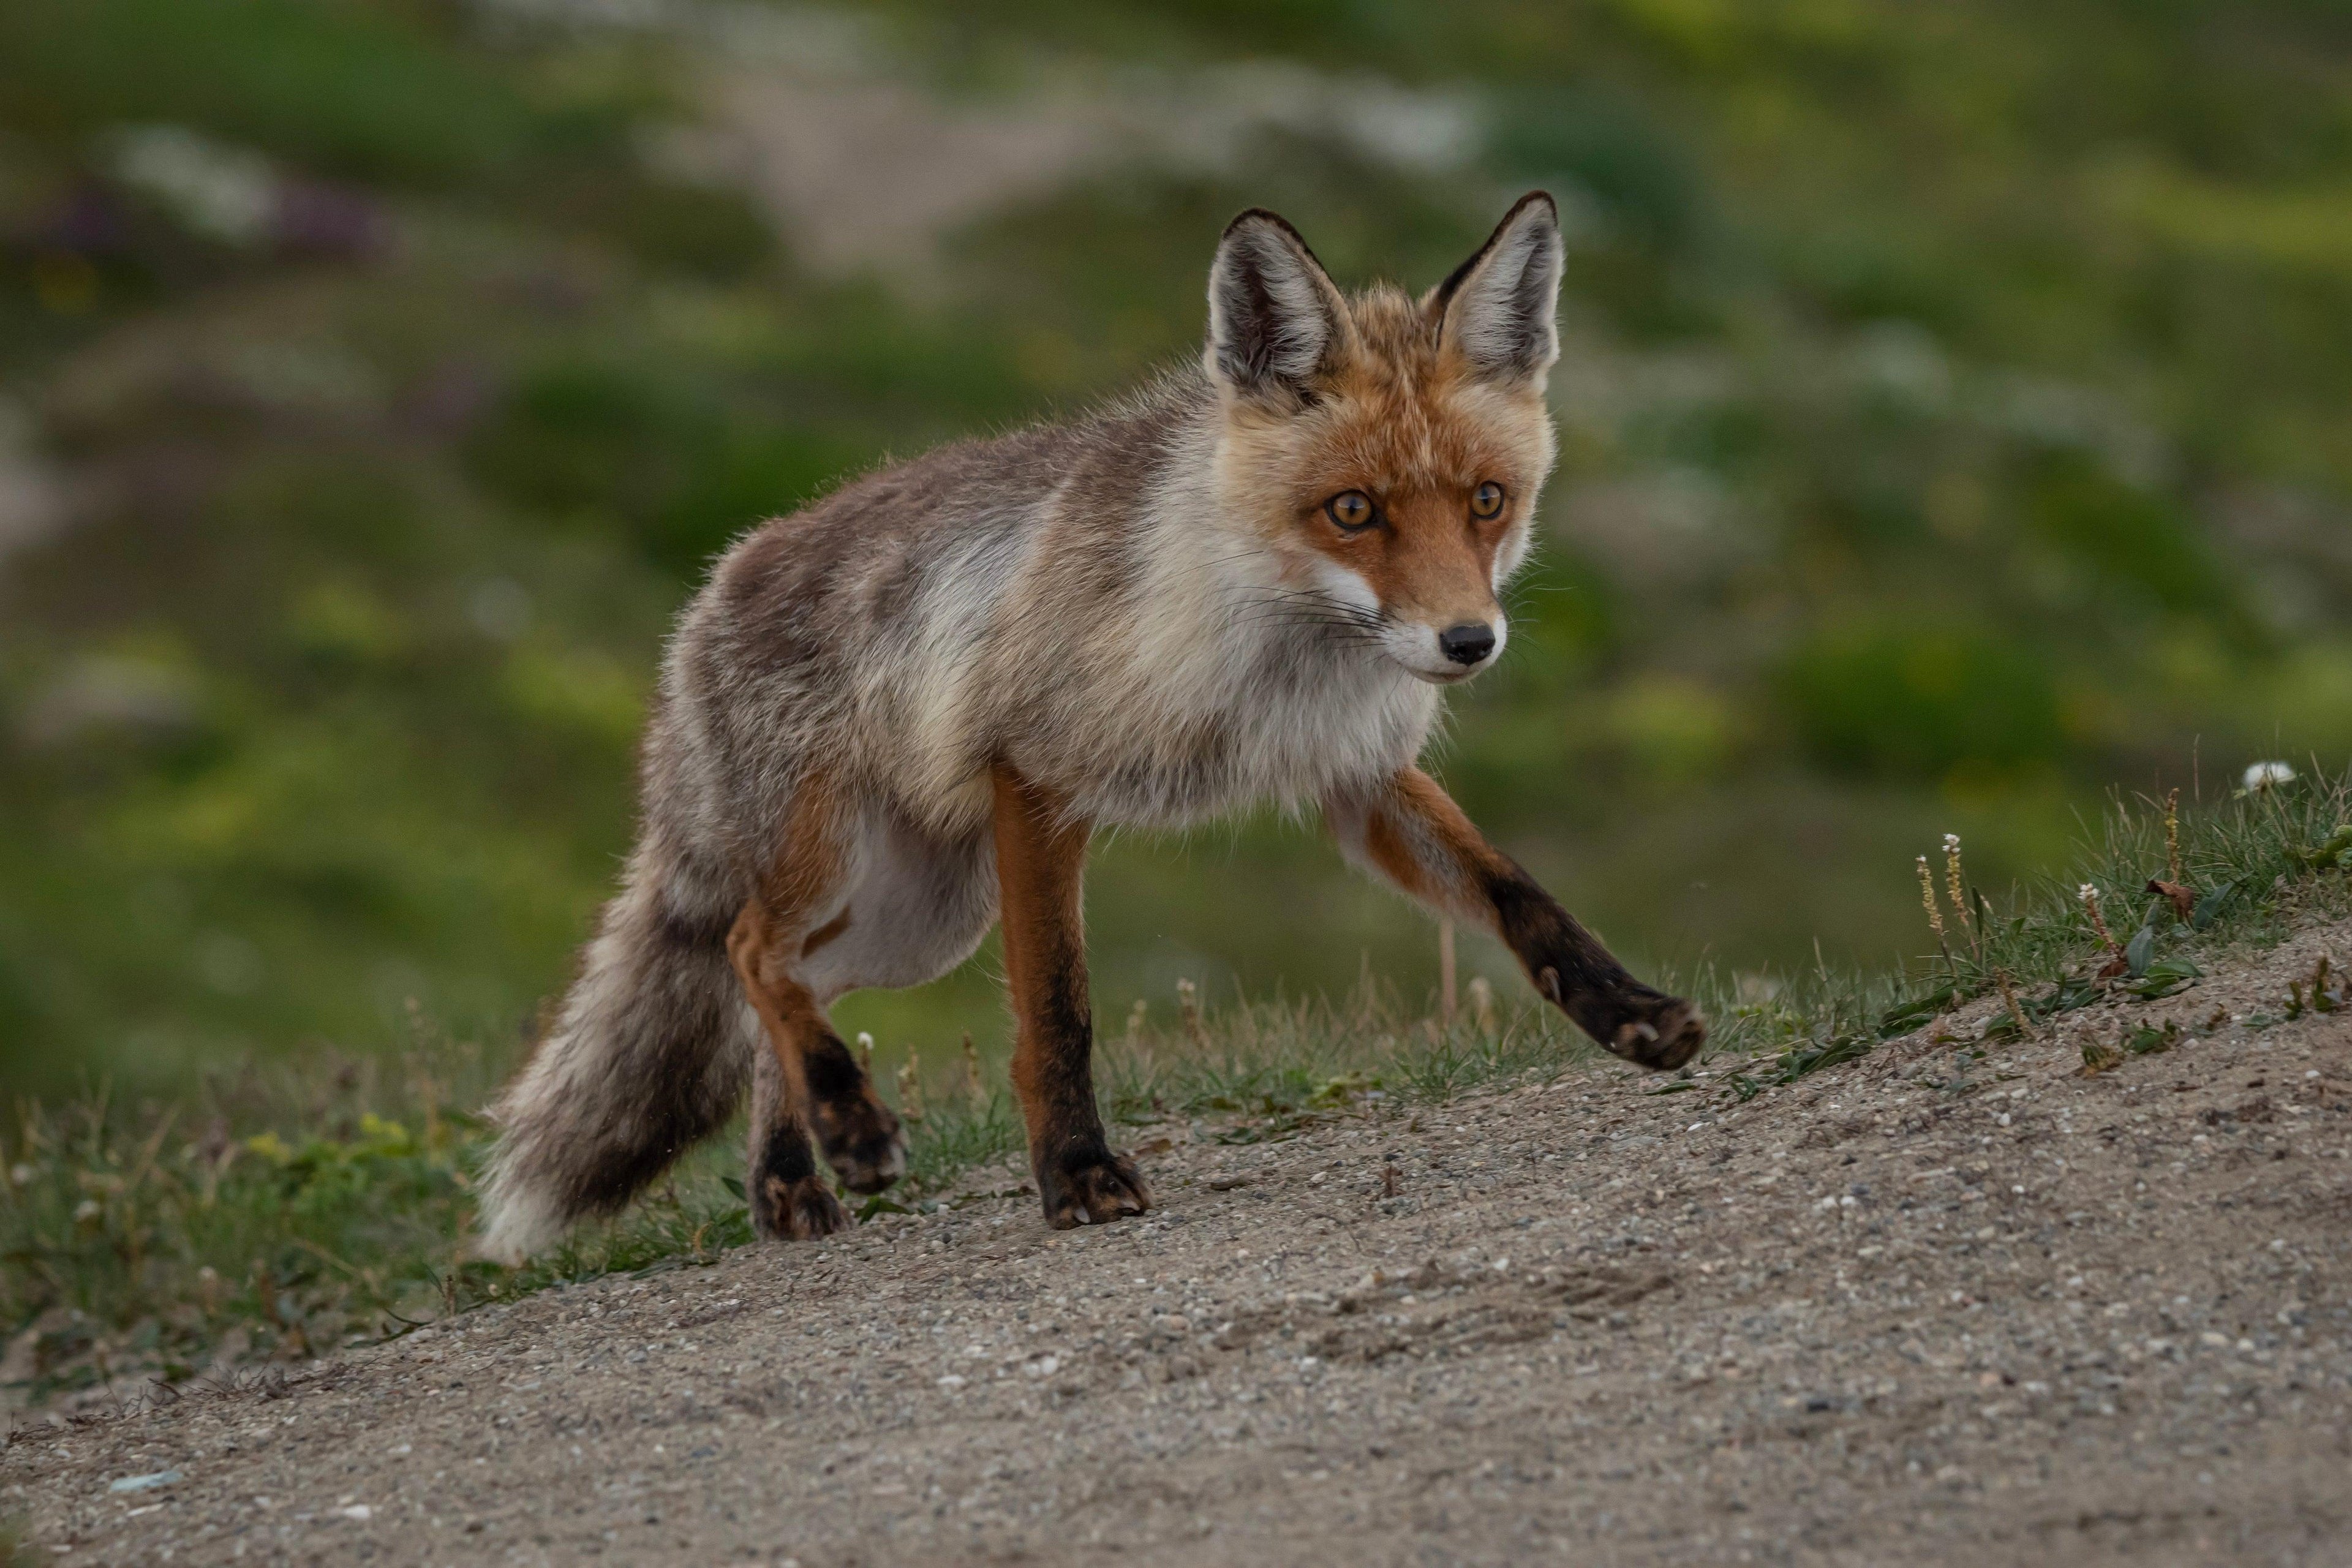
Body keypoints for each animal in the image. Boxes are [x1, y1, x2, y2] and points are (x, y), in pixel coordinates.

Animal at [472, 192, 1712, 1260]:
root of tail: (710, 589)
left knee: (783, 988)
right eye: (1354, 512)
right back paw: (847, 1123)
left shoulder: (1358, 776)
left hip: (916, 919)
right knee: (747, 950)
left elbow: (1520, 895)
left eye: (1488, 502)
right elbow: (1056, 1010)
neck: (1274, 651)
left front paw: (1630, 1014)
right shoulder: (1037, 779)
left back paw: (795, 1173)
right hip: (846, 867)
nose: (1467, 643)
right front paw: (1075, 1171)